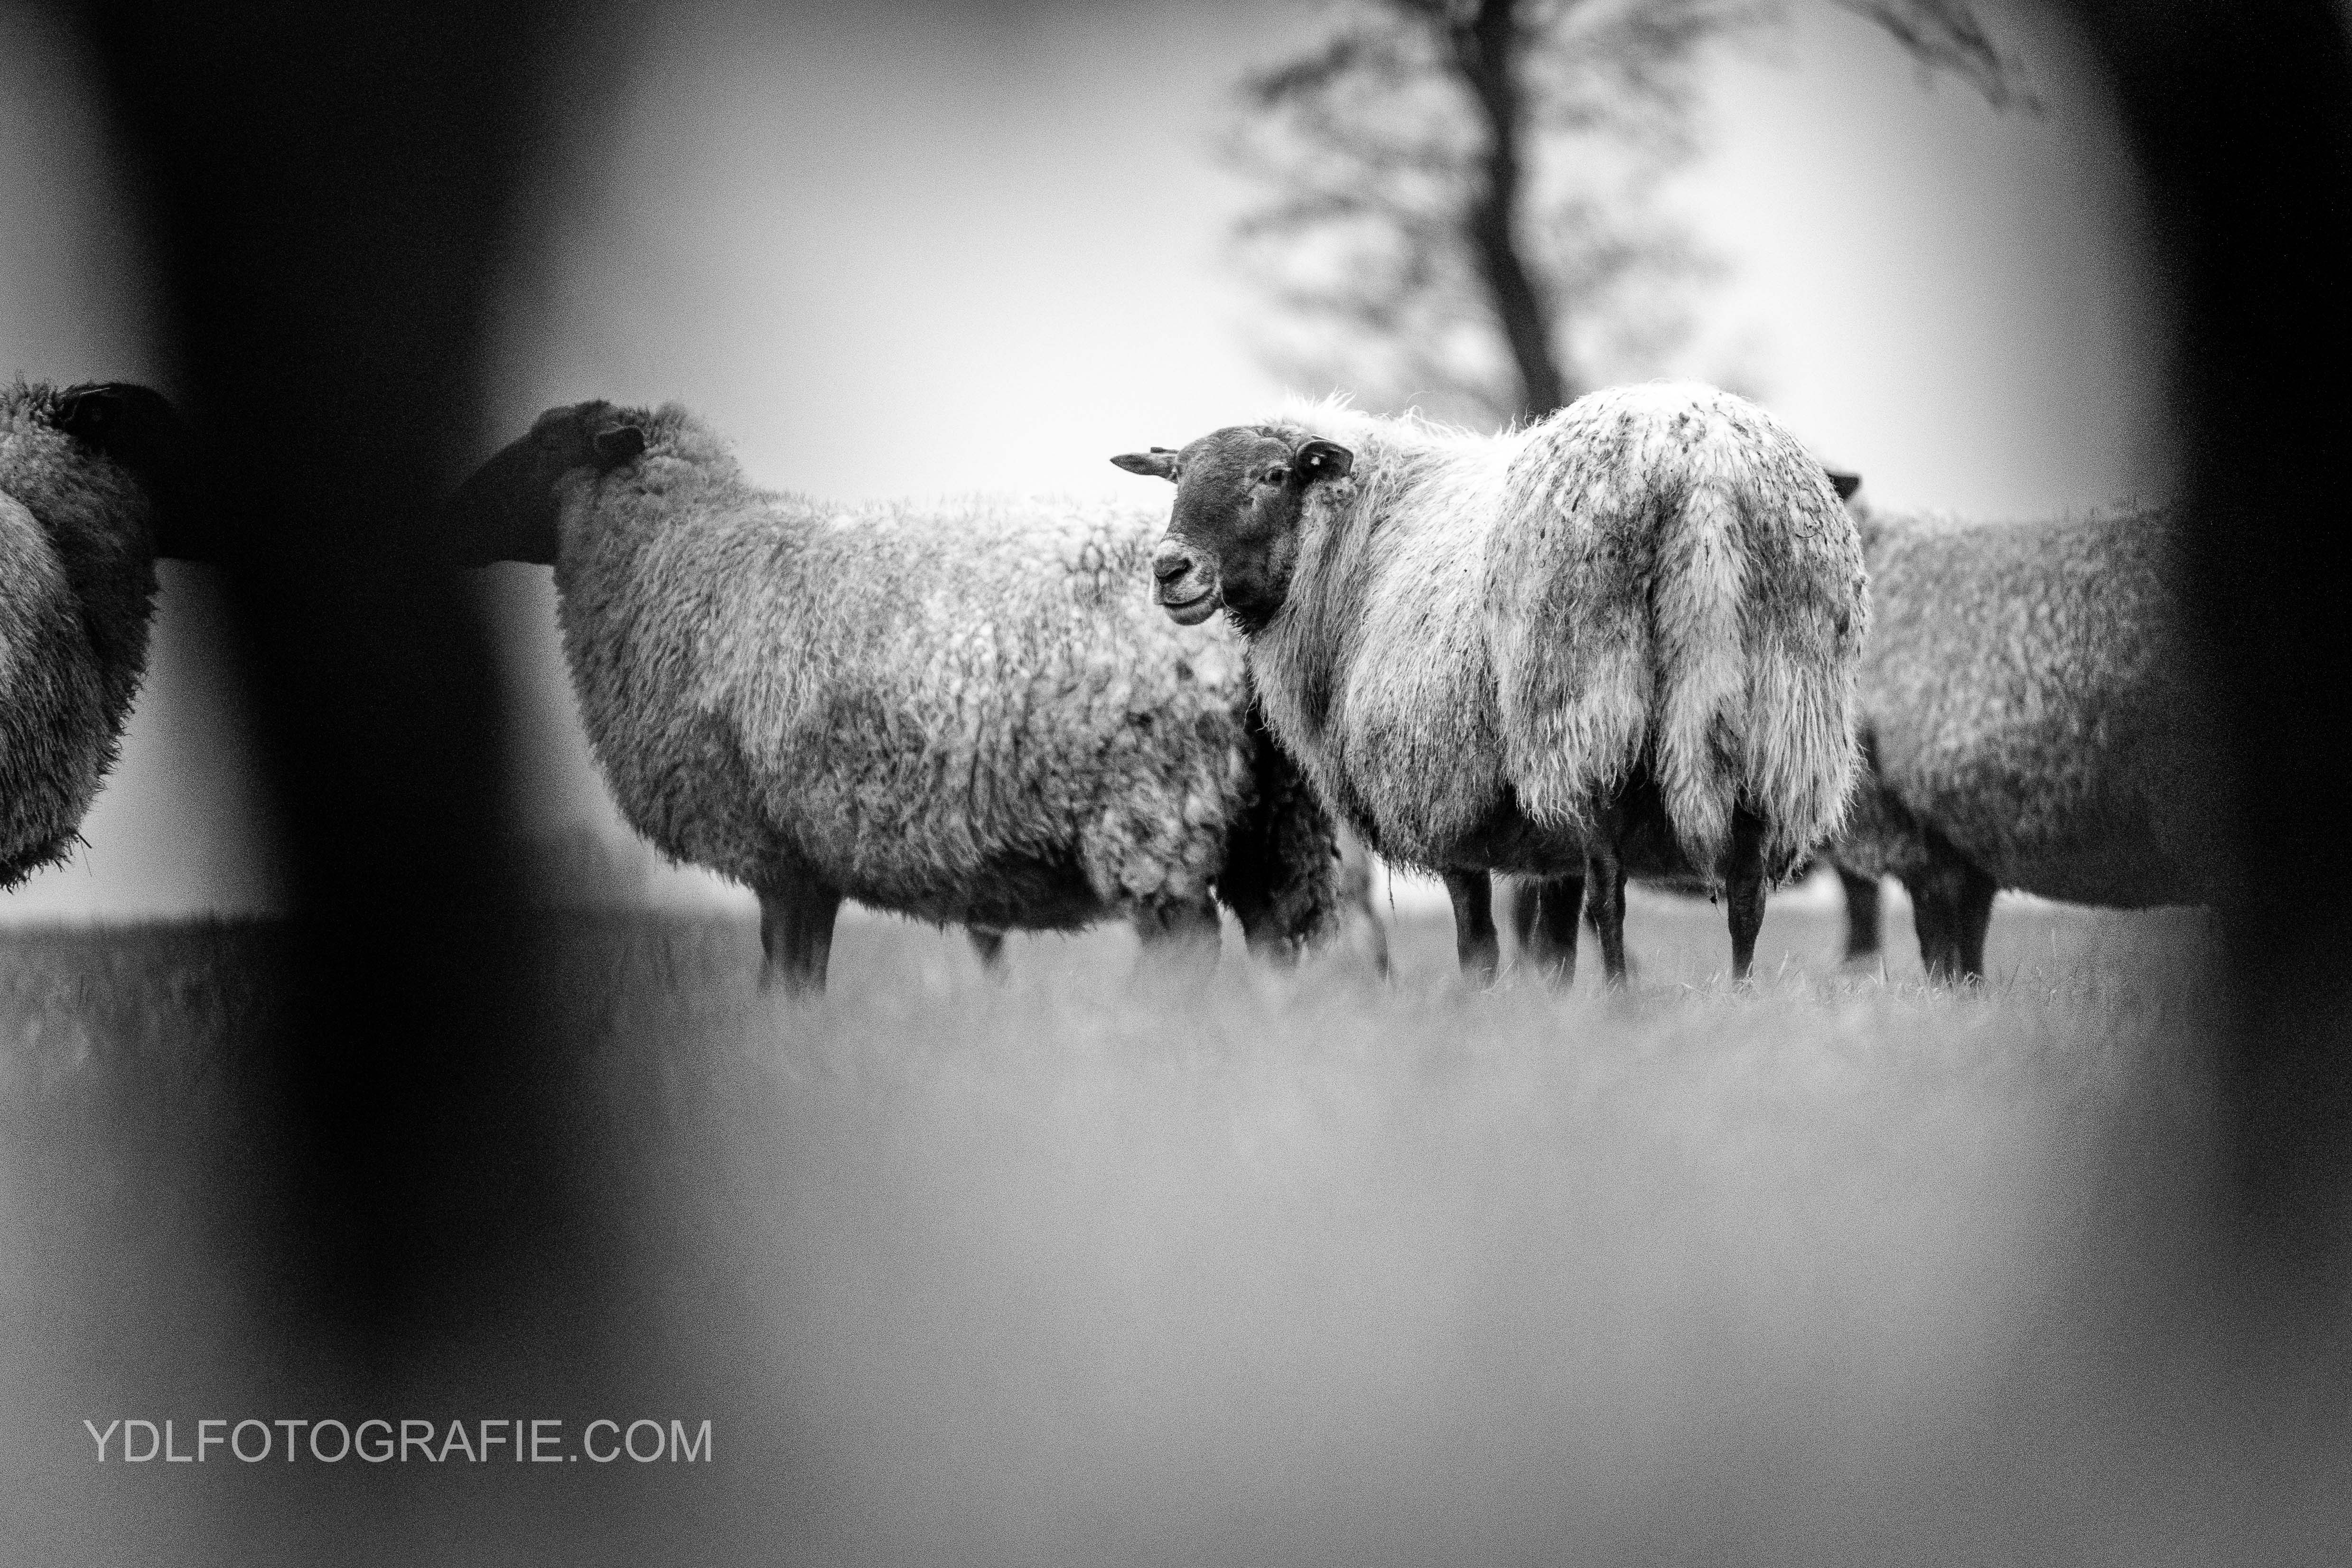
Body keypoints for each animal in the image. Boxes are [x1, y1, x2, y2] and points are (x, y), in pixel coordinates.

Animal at [441, 399, 1355, 994]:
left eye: (542, 444)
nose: (447, 517)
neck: (679, 560)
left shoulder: (780, 853)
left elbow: (787, 981)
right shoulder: (804, 858)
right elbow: (796, 978)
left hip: (1152, 806)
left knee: (1186, 949)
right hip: (1277, 819)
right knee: (1278, 941)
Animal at [1116, 382, 1869, 984]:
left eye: (1274, 475)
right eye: (1176, 475)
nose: (1170, 569)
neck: (1363, 532)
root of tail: (1707, 475)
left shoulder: (1442, 786)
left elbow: (1480, 947)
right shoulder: (1544, 843)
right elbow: (1554, 952)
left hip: (1583, 706)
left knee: (1612, 892)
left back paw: (1621, 1004)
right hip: (1777, 711)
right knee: (1745, 896)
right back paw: (1741, 997)